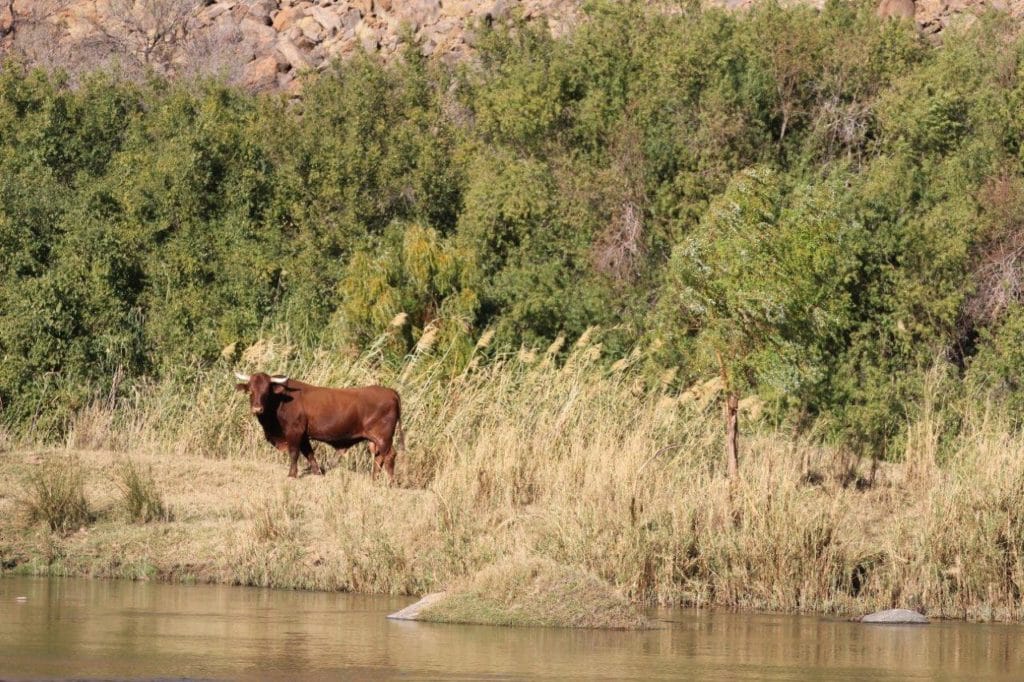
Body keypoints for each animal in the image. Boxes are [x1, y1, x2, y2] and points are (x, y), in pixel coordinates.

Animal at [234, 372, 401, 477]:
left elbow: (294, 453)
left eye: (266, 391)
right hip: (375, 440)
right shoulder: (303, 434)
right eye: (250, 390)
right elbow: (309, 453)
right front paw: (317, 472)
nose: (257, 408)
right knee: (380, 457)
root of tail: (390, 391)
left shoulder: (294, 431)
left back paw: (389, 483)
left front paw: (292, 474)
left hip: (383, 437)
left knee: (389, 455)